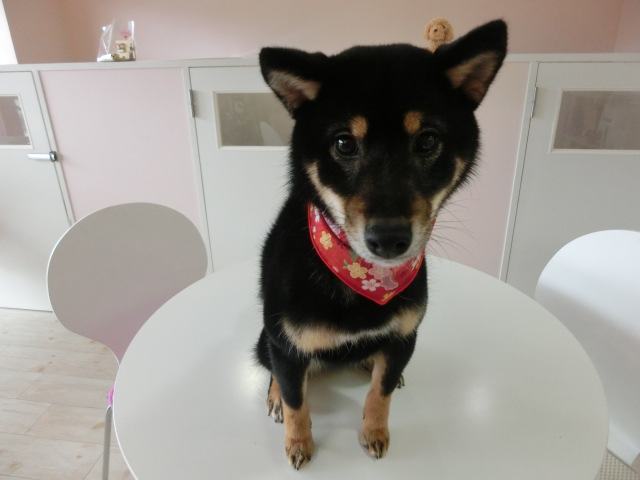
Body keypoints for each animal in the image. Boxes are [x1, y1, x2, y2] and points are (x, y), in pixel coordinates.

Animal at [255, 19, 507, 469]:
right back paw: (274, 396)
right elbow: (296, 398)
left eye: (427, 141)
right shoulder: (286, 342)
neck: (361, 278)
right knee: (274, 370)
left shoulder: (405, 335)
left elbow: (381, 391)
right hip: (266, 336)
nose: (388, 238)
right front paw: (298, 442)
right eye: (343, 143)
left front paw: (374, 431)